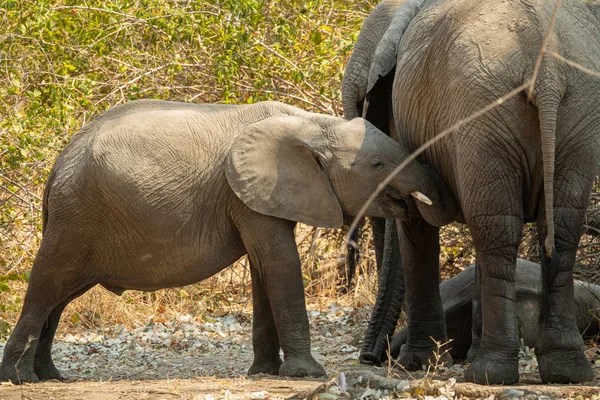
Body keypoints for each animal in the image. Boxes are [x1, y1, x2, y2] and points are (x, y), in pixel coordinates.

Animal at [0, 98, 454, 382]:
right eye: (377, 165)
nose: (430, 198)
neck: (312, 123)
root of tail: (57, 166)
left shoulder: (256, 197)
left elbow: (262, 268)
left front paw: (265, 373)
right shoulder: (248, 194)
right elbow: (279, 262)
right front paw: (308, 374)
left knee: (60, 298)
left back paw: (50, 377)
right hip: (76, 216)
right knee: (46, 286)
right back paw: (22, 380)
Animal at [344, 0, 600, 384]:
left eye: (361, 103)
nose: (370, 358)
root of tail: (548, 69)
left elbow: (416, 225)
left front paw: (415, 364)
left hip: (483, 112)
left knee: (496, 231)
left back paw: (488, 374)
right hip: (575, 113)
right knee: (550, 227)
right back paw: (565, 370)